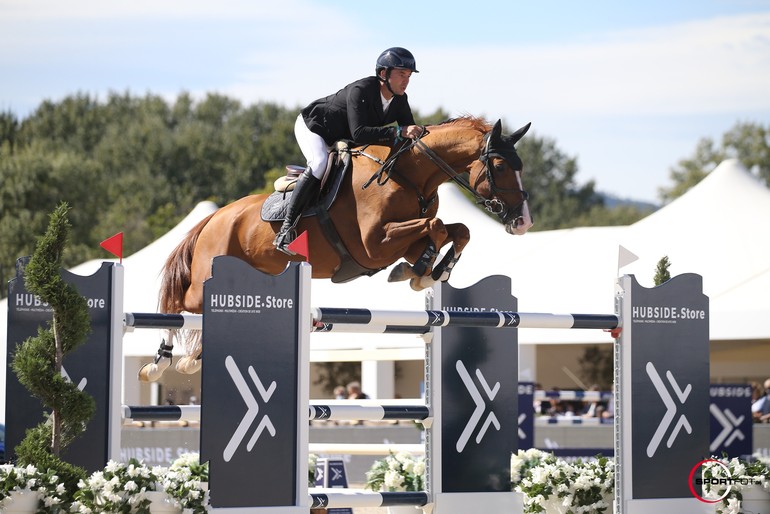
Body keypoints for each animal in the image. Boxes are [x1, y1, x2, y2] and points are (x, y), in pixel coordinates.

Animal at [138, 116, 532, 380]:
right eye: (499, 165)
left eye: (521, 166)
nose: (523, 222)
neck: (408, 176)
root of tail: (214, 217)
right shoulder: (375, 245)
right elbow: (436, 228)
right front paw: (420, 272)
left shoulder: (401, 242)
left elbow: (457, 230)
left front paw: (430, 271)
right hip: (205, 276)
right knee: (178, 302)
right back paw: (160, 361)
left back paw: (193, 359)